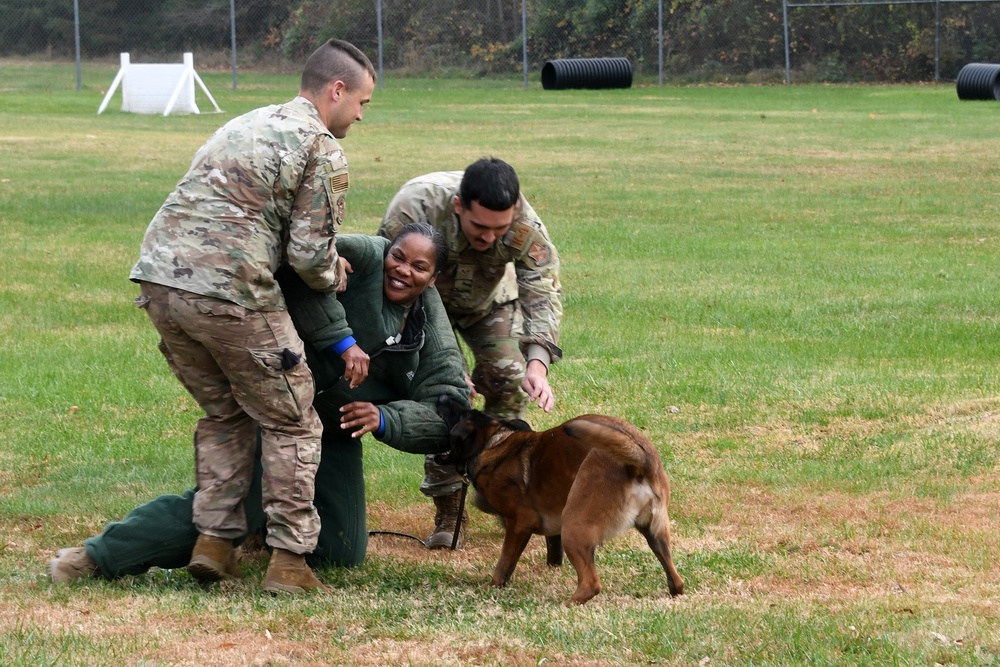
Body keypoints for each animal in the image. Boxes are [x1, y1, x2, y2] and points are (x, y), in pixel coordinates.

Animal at [436, 396, 680, 604]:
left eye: (457, 413)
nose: (443, 397)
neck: (493, 442)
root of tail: (641, 462)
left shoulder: (519, 523)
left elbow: (504, 563)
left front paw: (493, 585)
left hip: (573, 526)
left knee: (591, 583)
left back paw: (568, 603)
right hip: (655, 532)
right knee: (677, 580)